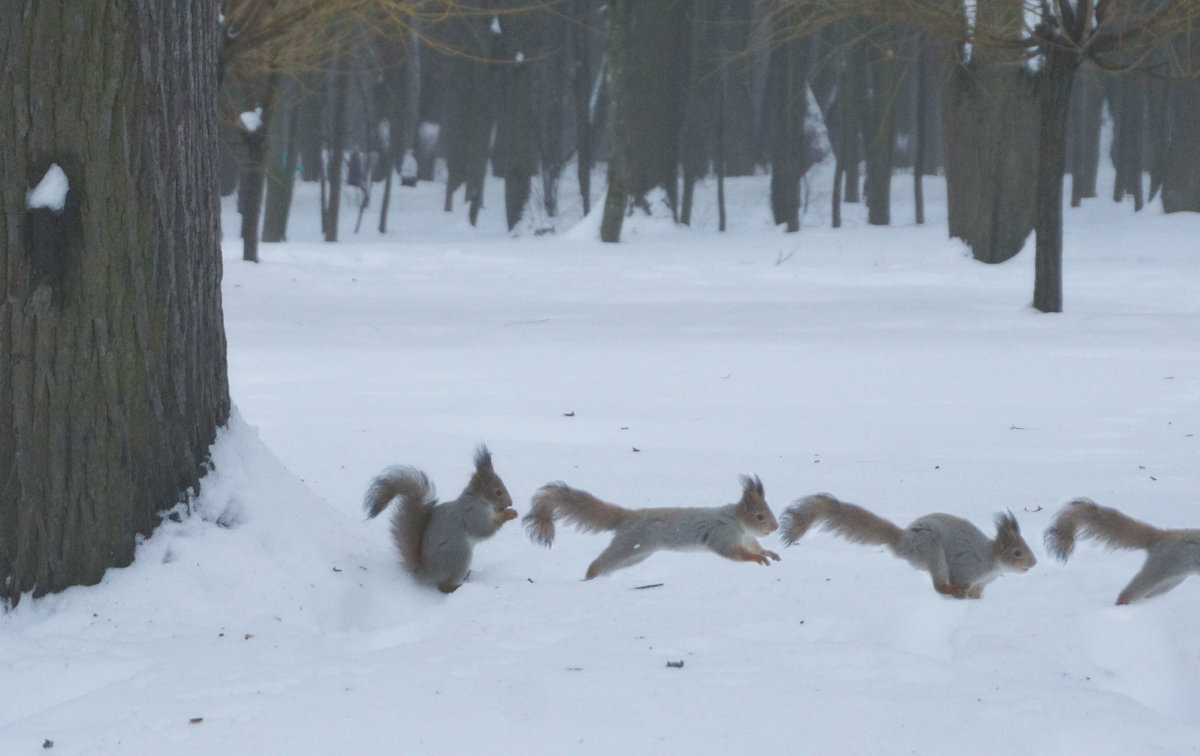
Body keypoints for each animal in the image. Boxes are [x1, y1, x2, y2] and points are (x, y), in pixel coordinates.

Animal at [362, 446, 518, 595]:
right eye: (498, 492)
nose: (510, 503)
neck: (479, 500)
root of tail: (426, 573)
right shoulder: (472, 514)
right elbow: (484, 529)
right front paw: (508, 514)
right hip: (458, 554)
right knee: (443, 586)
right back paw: (456, 587)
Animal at [782, 494, 1036, 602]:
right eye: (1017, 552)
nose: (1033, 563)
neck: (992, 562)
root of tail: (902, 541)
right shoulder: (967, 567)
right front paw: (960, 594)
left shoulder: (982, 584)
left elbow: (977, 593)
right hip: (932, 550)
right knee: (938, 585)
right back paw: (951, 589)